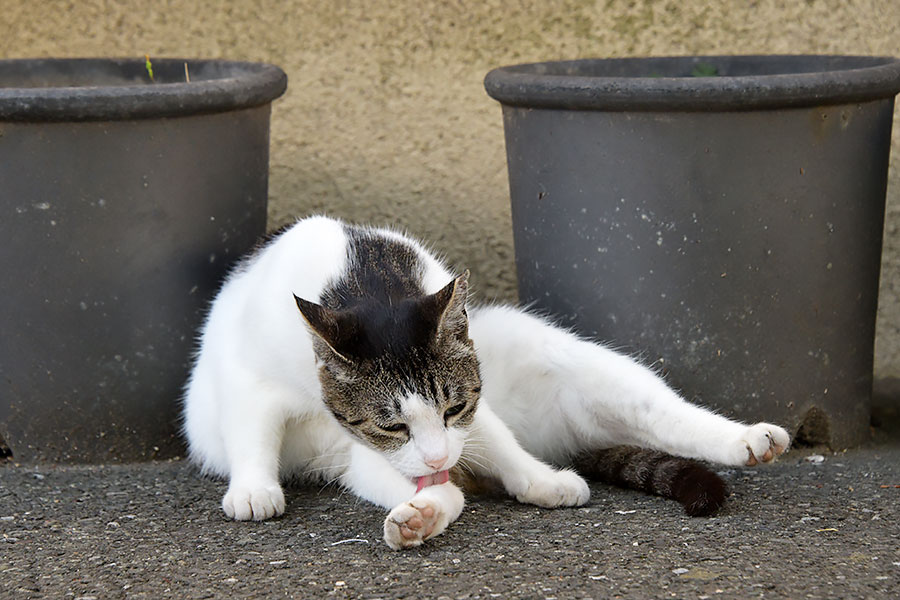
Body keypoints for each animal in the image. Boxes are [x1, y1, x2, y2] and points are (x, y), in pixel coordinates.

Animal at [183, 216, 788, 548]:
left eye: (453, 408)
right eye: (392, 425)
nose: (434, 456)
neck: (365, 281)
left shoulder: (471, 407)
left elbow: (493, 439)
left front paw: (536, 481)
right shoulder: (251, 380)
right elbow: (252, 433)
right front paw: (254, 490)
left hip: (564, 360)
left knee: (656, 412)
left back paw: (744, 439)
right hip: (350, 458)